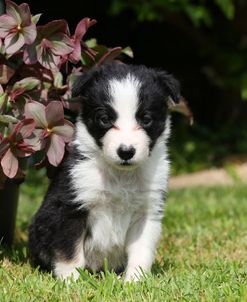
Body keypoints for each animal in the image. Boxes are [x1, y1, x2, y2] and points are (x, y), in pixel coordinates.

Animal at [28, 62, 181, 282]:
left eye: (146, 119)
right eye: (104, 119)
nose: (126, 151)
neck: (121, 175)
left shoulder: (146, 212)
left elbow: (141, 250)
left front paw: (135, 281)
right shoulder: (70, 207)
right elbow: (69, 252)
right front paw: (71, 281)